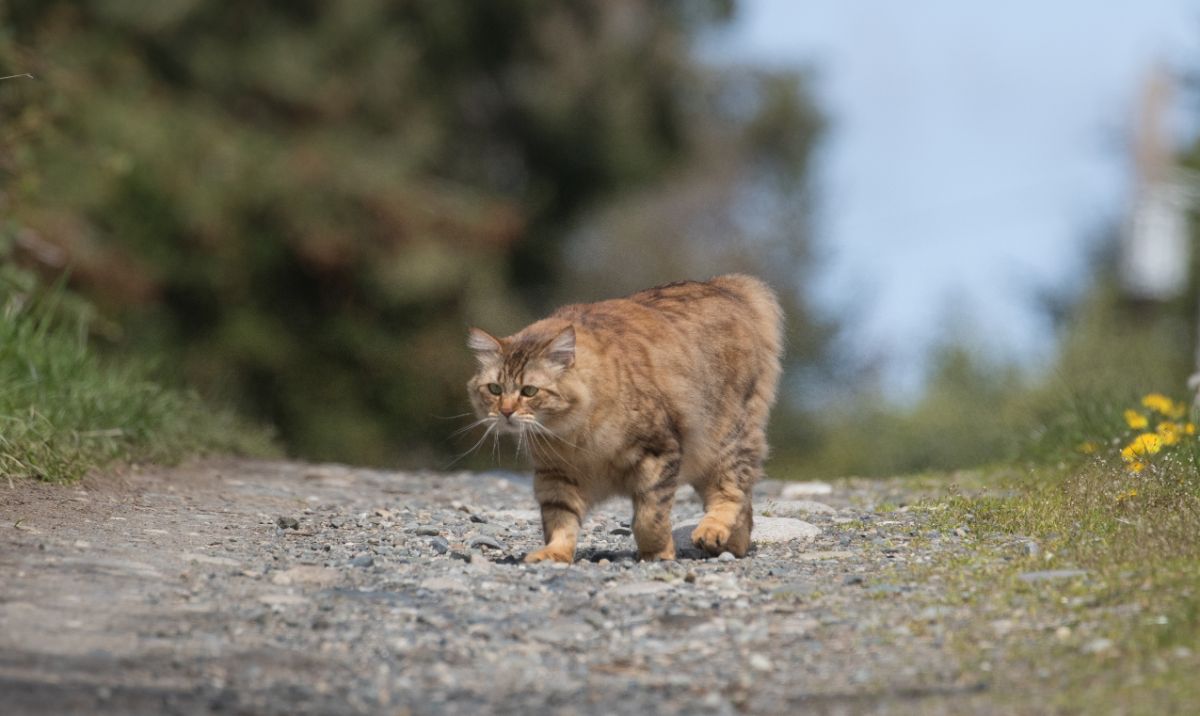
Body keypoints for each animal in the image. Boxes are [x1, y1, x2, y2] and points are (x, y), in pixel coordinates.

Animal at [463, 272, 782, 558]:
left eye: (529, 391)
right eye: (494, 389)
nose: (505, 411)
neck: (573, 435)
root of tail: (725, 285)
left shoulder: (659, 453)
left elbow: (649, 518)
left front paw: (658, 554)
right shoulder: (556, 474)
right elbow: (560, 521)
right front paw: (555, 554)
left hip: (726, 440)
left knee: (731, 493)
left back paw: (710, 533)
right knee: (745, 507)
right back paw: (731, 546)